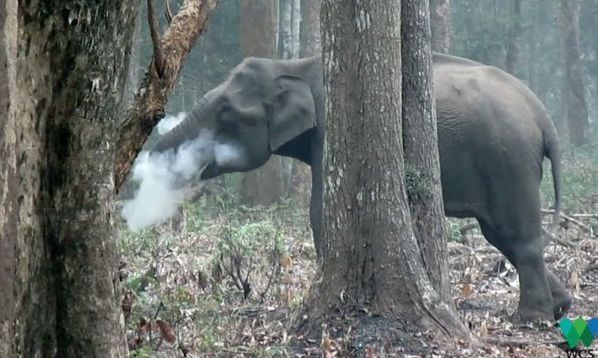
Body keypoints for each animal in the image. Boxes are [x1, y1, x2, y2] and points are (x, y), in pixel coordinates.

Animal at [151, 54, 572, 324]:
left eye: (225, 112)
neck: (293, 65)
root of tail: (544, 117)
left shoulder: (331, 130)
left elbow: (320, 210)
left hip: (508, 161)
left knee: (516, 235)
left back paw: (531, 319)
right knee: (502, 235)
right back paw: (562, 307)